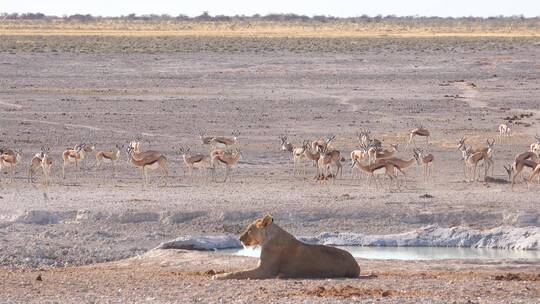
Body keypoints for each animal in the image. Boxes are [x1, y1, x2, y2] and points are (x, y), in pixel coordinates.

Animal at [213, 215, 360, 280]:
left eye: (249, 230)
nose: (239, 239)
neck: (267, 238)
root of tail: (356, 264)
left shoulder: (265, 271)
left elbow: (239, 273)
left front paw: (219, 276)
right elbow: (239, 271)